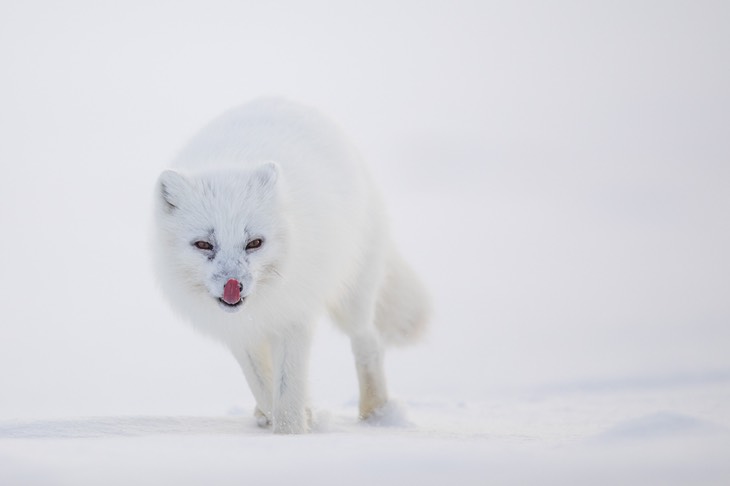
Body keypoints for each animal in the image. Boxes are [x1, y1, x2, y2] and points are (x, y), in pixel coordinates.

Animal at [154, 98, 426, 432]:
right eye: (204, 245)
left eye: (254, 243)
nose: (234, 286)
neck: (258, 306)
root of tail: (284, 100)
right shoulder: (238, 331)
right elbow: (261, 382)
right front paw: (288, 418)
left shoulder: (294, 316)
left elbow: (287, 389)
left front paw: (290, 433)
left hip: (353, 296)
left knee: (368, 340)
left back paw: (375, 412)